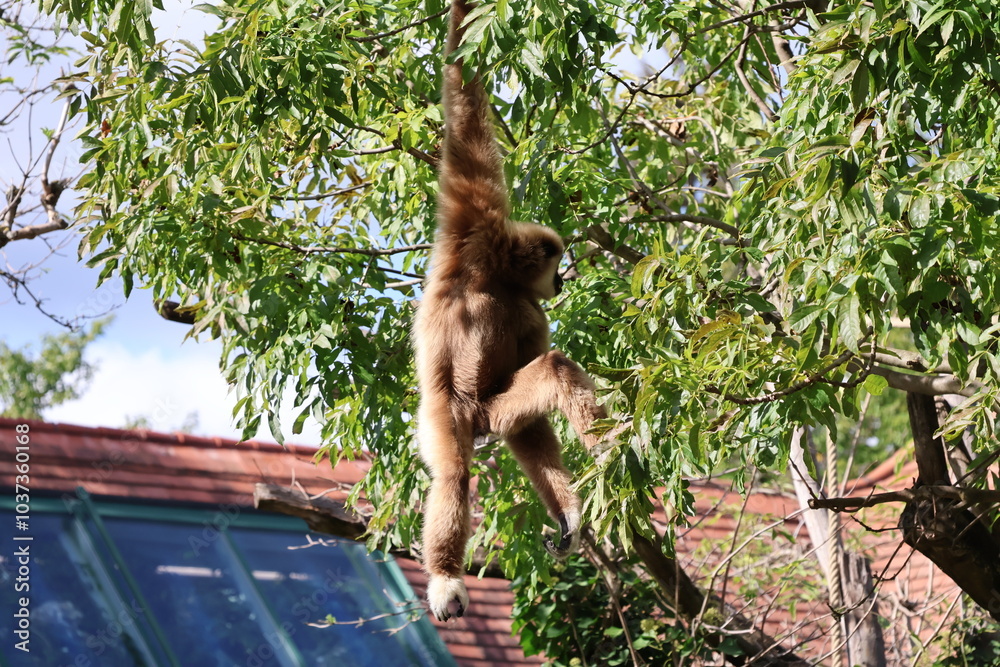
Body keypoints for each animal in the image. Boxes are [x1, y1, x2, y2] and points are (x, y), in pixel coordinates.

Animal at [413, 0, 609, 622]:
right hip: (445, 413)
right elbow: (464, 103)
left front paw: (569, 515)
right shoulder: (472, 220)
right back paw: (445, 578)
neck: (496, 275)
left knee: (548, 378)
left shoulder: (525, 305)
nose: (562, 280)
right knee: (452, 473)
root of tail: (475, 422)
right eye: (556, 265)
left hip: (493, 415)